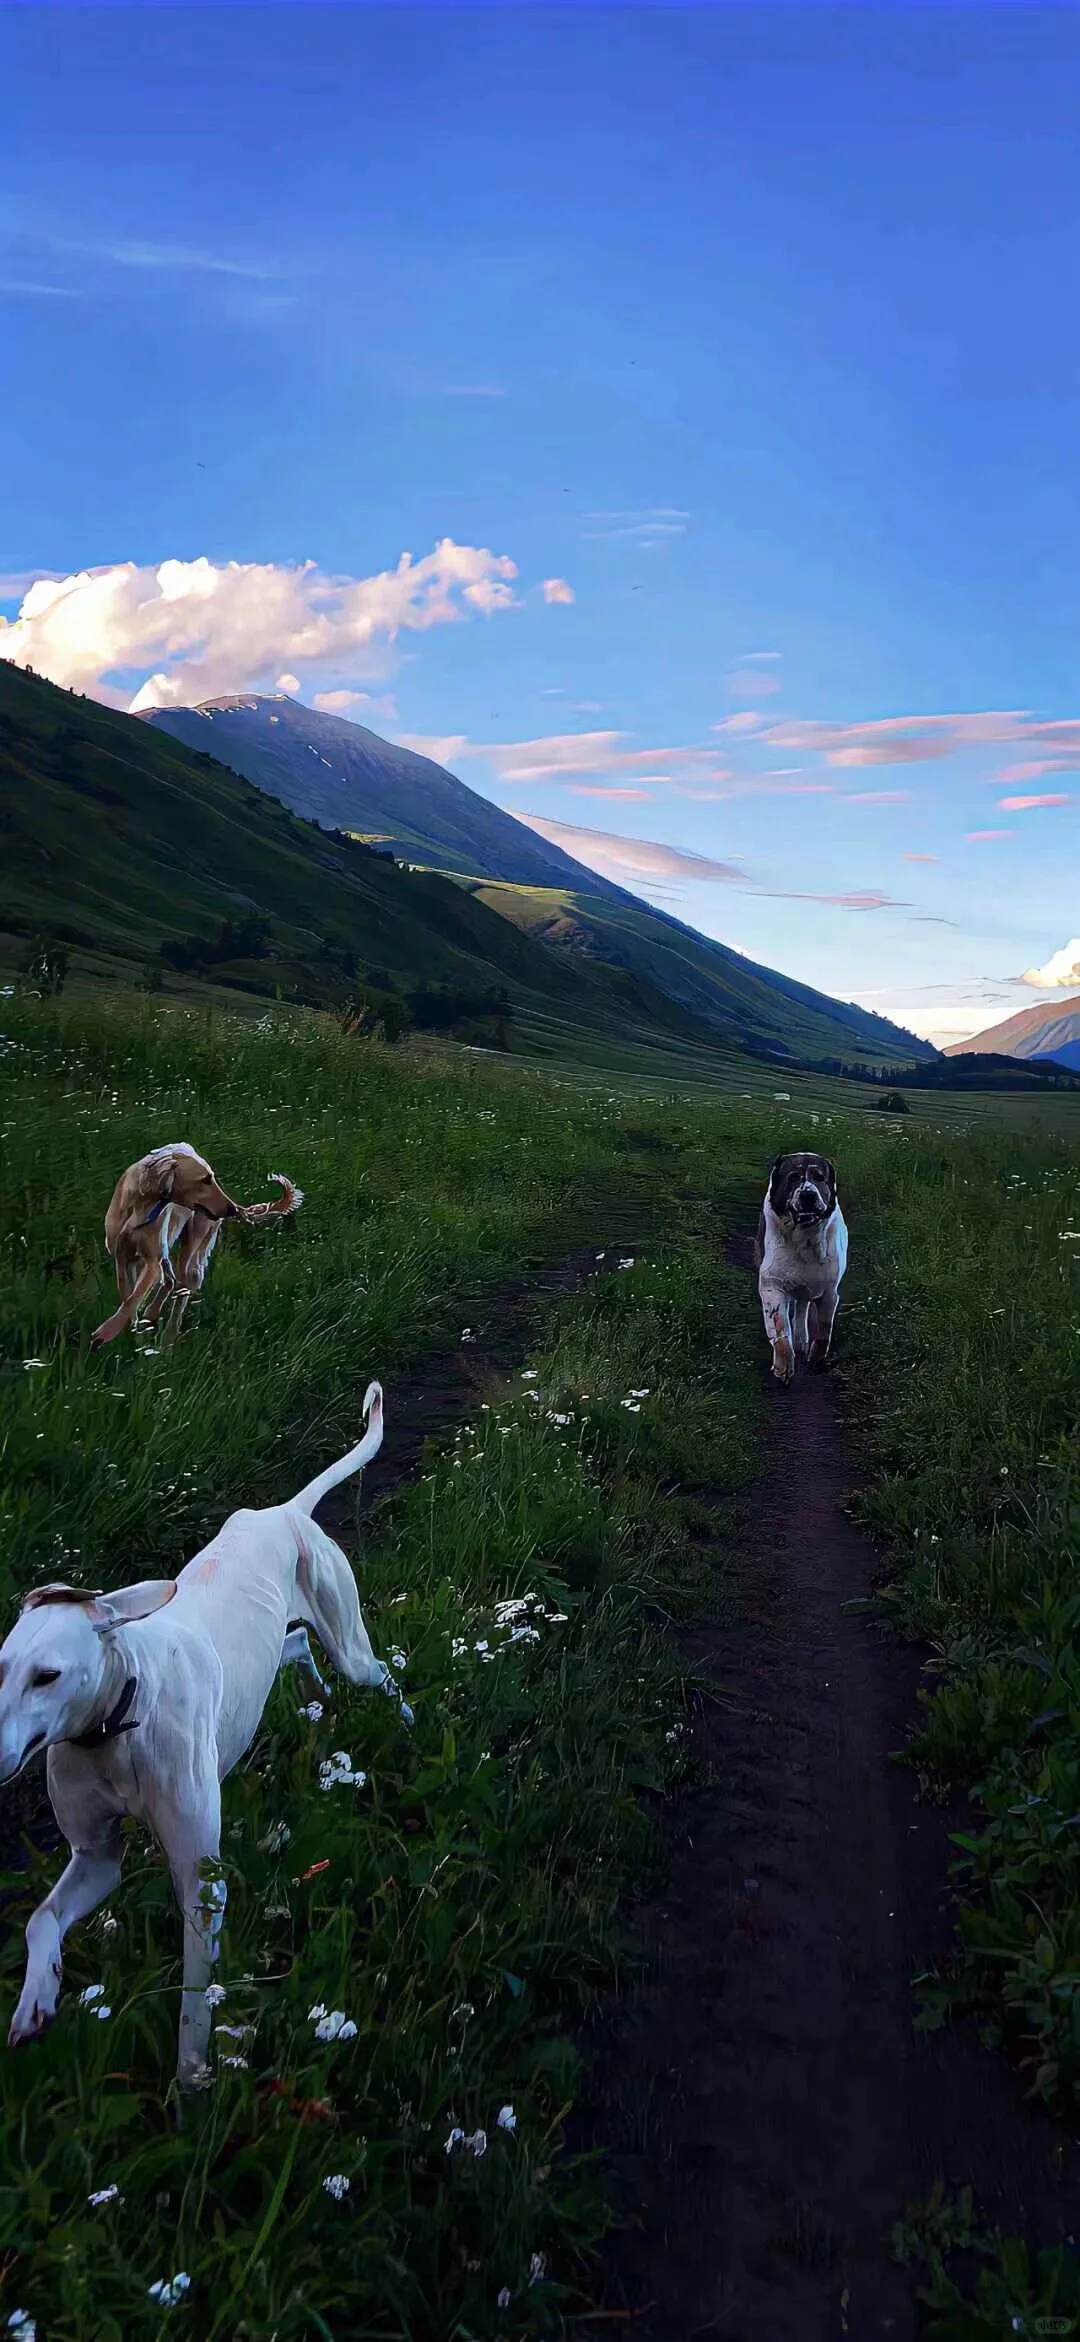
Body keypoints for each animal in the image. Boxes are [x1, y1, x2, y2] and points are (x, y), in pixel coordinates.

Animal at [0, 1367, 405, 2089]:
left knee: (376, 1672)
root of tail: (283, 1512)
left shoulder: (200, 1881)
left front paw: (193, 2087)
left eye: (47, 1676)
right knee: (295, 1646)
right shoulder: (95, 1857)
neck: (116, 1727)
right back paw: (316, 1693)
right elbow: (41, 1920)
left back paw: (405, 1719)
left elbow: (194, 2001)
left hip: (352, 1643)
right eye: (0, 1669)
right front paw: (37, 1998)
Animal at [91, 1138, 302, 1348]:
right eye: (205, 1179)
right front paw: (131, 1332)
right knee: (169, 1280)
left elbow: (133, 1299)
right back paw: (152, 1315)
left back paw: (166, 1336)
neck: (139, 1209)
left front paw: (107, 1332)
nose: (232, 1210)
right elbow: (129, 1298)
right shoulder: (124, 1259)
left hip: (192, 1248)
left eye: (211, 1178)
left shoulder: (150, 1261)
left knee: (181, 1286)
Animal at [754, 1147, 848, 1377]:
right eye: (793, 1177)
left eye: (819, 1177)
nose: (808, 1194)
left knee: (803, 1305)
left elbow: (824, 1330)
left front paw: (816, 1357)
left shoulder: (829, 1292)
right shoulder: (772, 1285)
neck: (804, 1238)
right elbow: (780, 1328)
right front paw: (783, 1366)